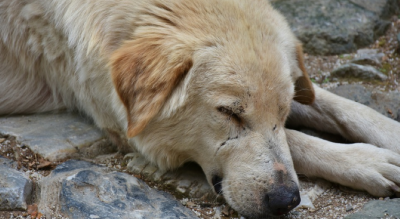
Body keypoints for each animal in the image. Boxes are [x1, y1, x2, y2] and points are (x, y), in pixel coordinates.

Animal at [0, 0, 400, 217]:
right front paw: (364, 161)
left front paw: (389, 135)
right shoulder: (115, 118)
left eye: (284, 111)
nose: (287, 201)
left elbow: (336, 105)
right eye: (229, 113)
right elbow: (301, 142)